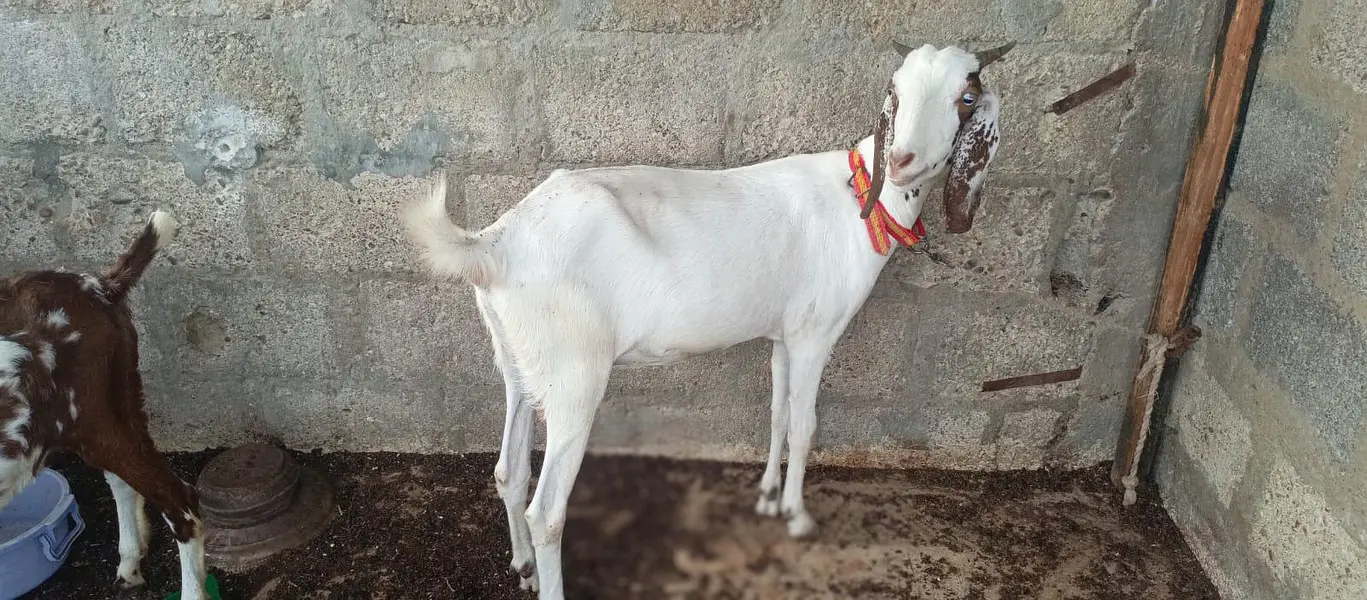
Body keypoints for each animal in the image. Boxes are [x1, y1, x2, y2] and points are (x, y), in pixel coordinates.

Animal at [0, 211, 210, 600]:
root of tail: (100, 286)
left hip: (93, 413)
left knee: (178, 498)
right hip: (118, 397)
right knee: (122, 476)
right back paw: (129, 563)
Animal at [402, 42, 1013, 599]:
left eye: (965, 97)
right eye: (896, 91)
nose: (904, 158)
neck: (859, 202)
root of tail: (496, 242)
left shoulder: (783, 335)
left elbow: (777, 415)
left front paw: (767, 498)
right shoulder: (815, 334)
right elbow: (805, 425)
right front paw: (797, 515)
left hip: (519, 363)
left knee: (509, 471)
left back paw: (524, 567)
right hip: (575, 376)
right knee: (546, 510)